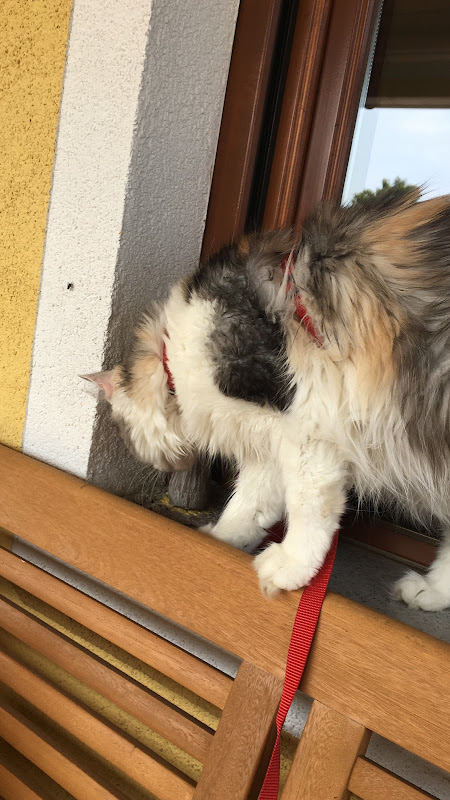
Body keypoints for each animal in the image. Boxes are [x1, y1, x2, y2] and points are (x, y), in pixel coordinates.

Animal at [85, 191, 450, 610]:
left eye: (121, 431)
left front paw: (289, 566)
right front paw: (216, 544)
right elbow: (249, 507)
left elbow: (309, 508)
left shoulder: (305, 429)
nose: (140, 457)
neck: (173, 357)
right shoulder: (273, 442)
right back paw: (431, 591)